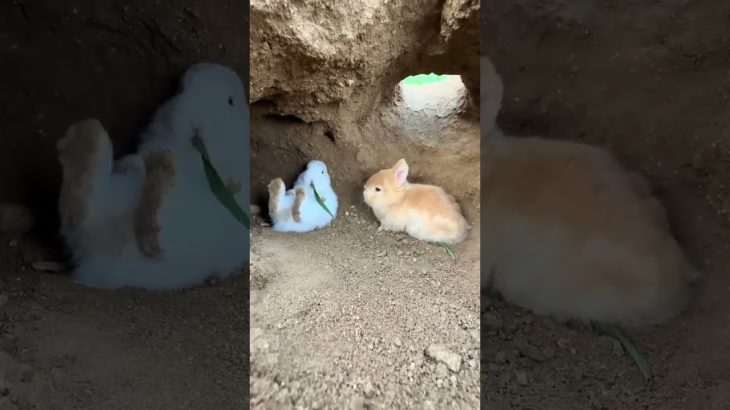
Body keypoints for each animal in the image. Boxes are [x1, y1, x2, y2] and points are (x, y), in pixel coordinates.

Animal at [57, 62, 250, 290]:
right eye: (180, 91)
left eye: (230, 101)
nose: (196, 124)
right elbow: (139, 158)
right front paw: (133, 161)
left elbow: (233, 183)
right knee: (86, 212)